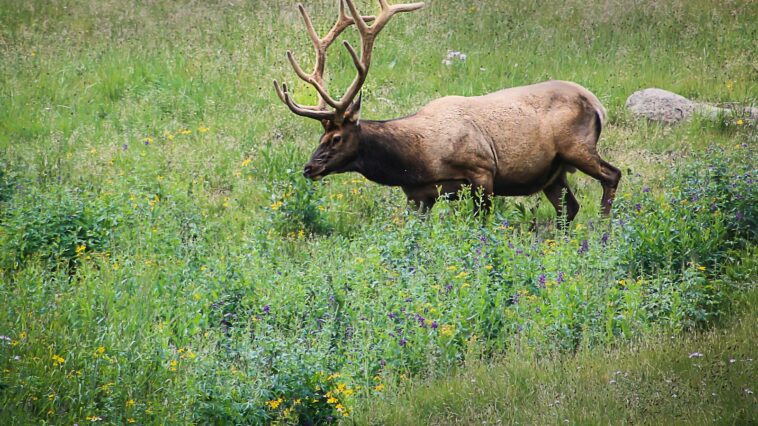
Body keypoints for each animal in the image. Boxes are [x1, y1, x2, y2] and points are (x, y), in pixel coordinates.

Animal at [274, 0, 624, 225]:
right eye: (321, 137)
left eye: (335, 138)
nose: (308, 168)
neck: (416, 161)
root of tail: (598, 104)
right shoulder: (418, 194)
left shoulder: (482, 170)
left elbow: (480, 225)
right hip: (553, 172)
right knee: (570, 208)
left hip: (577, 147)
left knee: (612, 175)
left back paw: (604, 229)